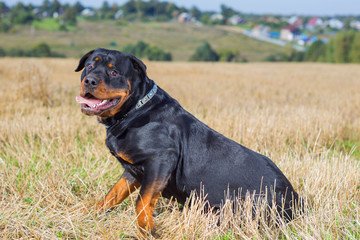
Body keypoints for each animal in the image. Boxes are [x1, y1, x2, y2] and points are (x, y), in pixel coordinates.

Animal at [74, 48, 300, 232]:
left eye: (114, 73)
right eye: (89, 67)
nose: (90, 80)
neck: (135, 110)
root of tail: (296, 200)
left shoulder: (160, 160)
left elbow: (142, 201)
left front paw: (146, 229)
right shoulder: (133, 171)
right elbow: (112, 194)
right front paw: (89, 213)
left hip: (241, 207)